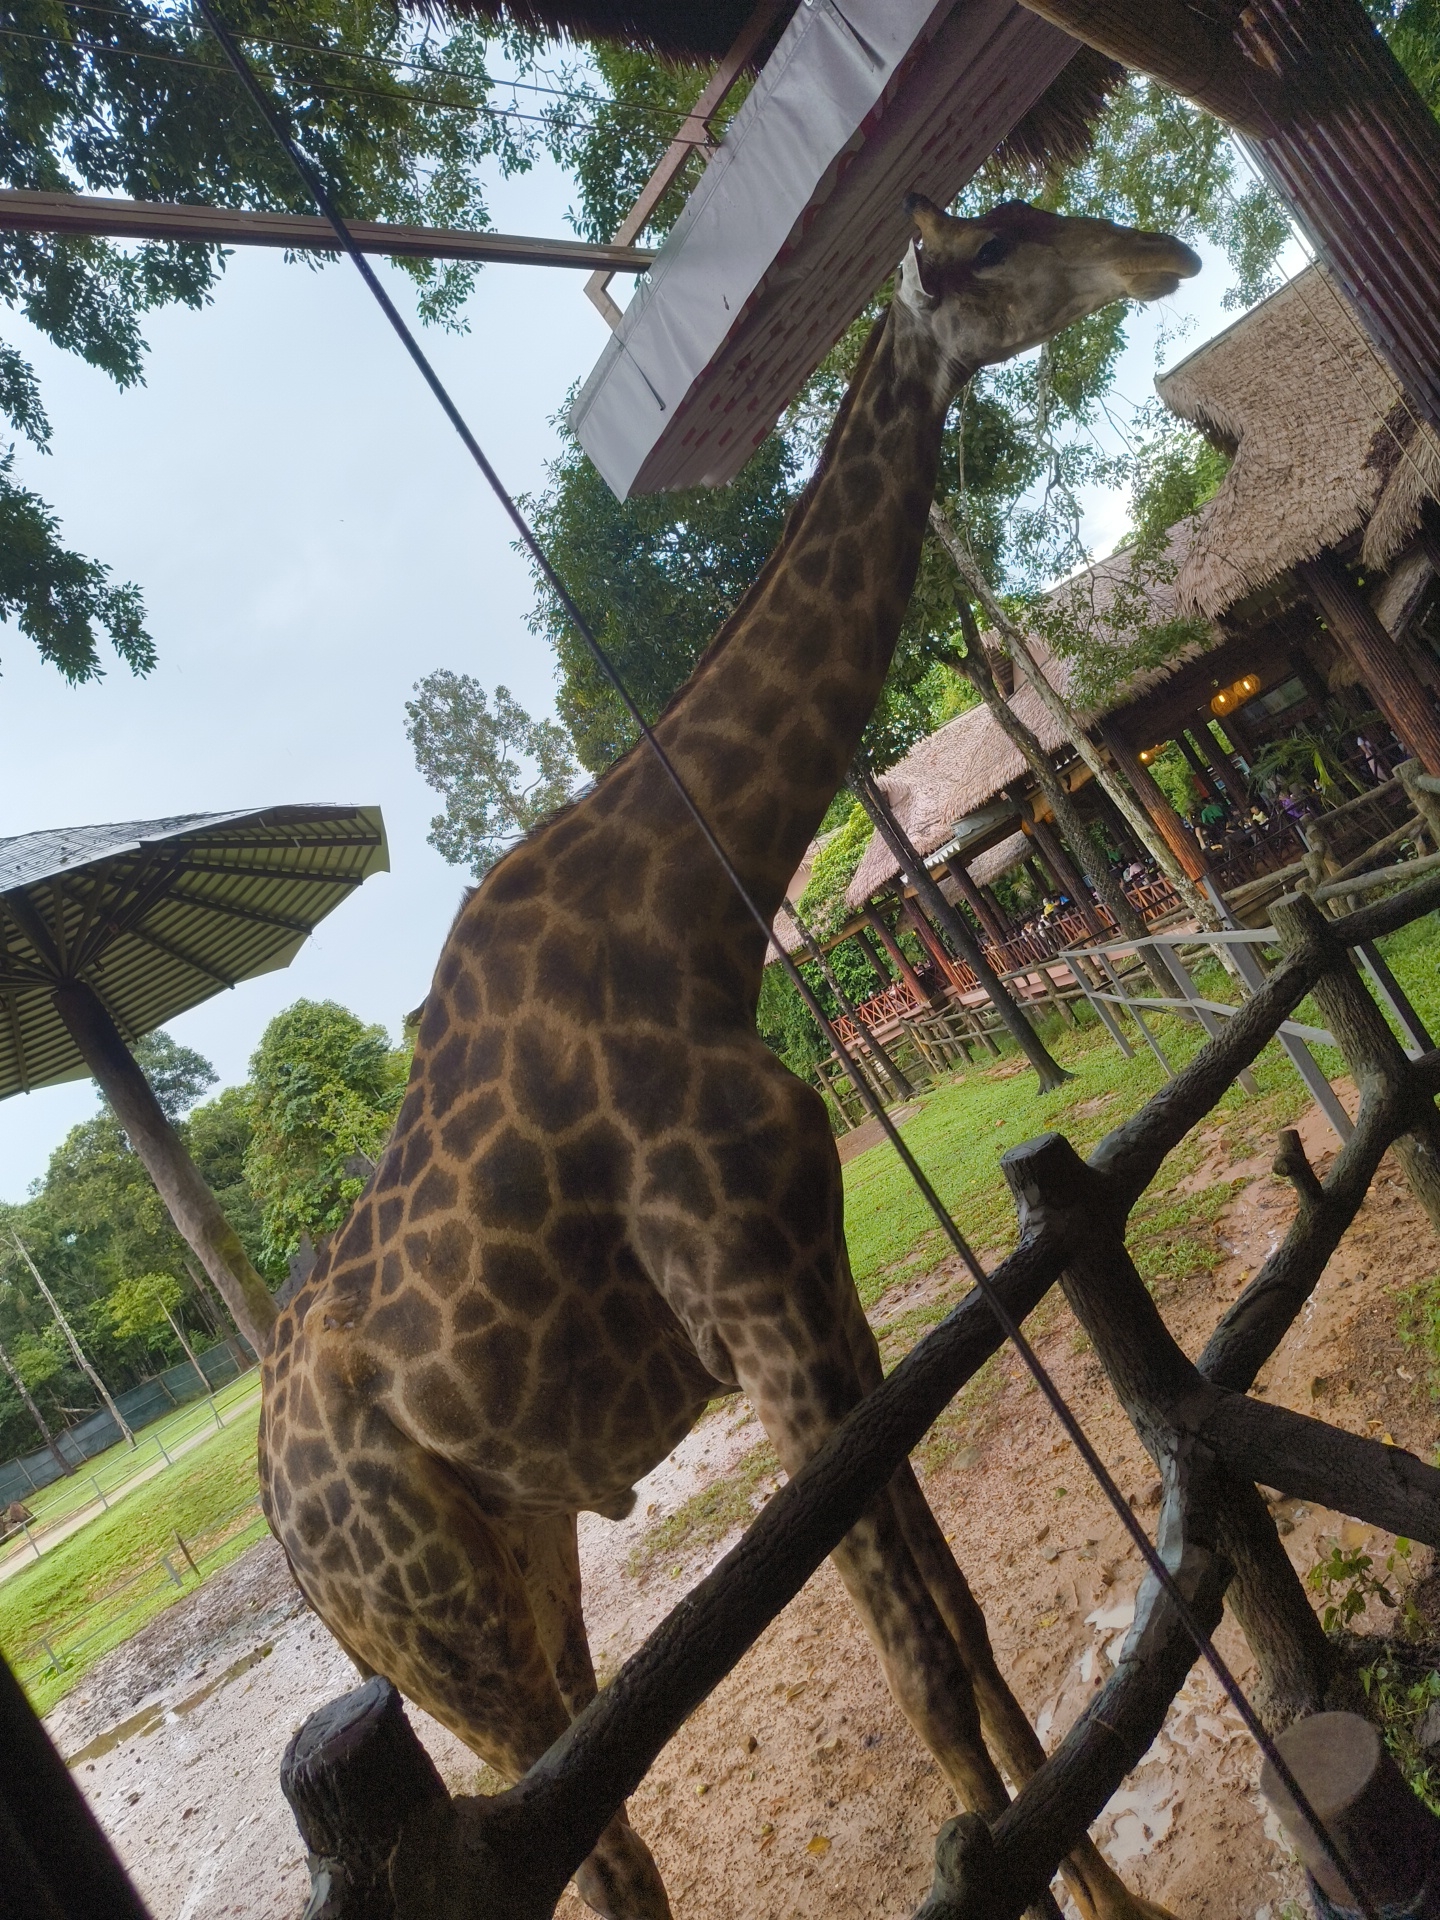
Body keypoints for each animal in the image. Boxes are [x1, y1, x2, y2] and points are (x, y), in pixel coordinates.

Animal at [261, 196, 1200, 1920]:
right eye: (994, 248)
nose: (1158, 253)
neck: (697, 907)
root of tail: (285, 1534)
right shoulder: (754, 1307)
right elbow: (916, 1666)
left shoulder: (819, 1290)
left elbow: (960, 1620)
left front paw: (1111, 1894)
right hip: (430, 1623)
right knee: (582, 1842)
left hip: (521, 1560)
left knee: (593, 1830)